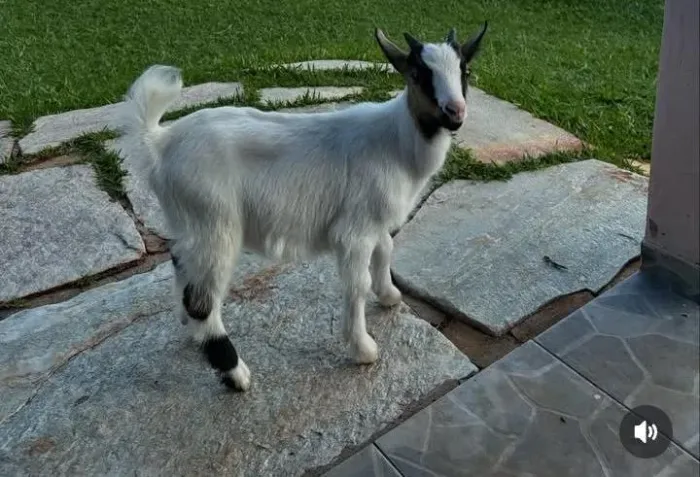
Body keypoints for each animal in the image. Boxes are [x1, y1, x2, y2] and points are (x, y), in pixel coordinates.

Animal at [119, 23, 488, 391]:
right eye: (418, 74)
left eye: (465, 70)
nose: (455, 112)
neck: (397, 143)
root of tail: (160, 143)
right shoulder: (354, 231)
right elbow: (357, 283)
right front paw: (363, 349)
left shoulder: (375, 220)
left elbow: (386, 249)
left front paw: (389, 296)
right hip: (214, 221)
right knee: (202, 298)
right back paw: (236, 375)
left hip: (189, 221)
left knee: (181, 262)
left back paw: (191, 330)